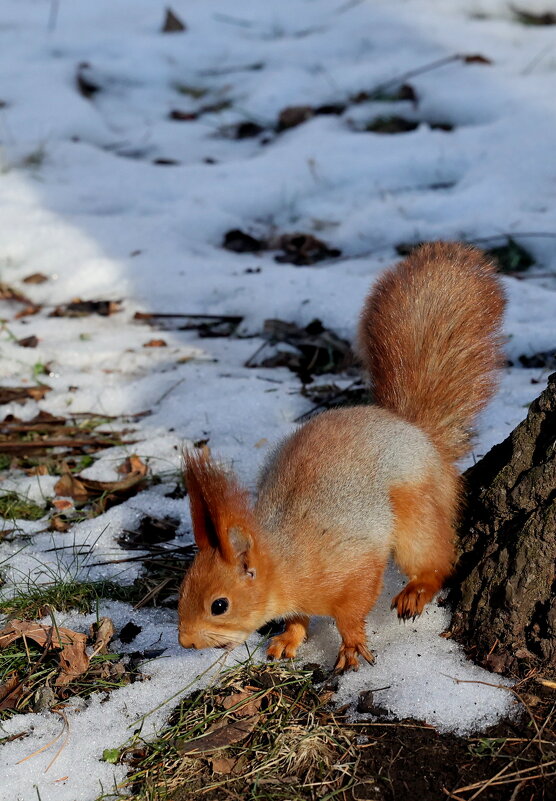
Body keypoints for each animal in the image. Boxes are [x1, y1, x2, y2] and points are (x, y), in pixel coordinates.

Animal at [177, 242, 504, 668]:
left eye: (220, 605)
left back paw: (416, 591)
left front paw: (350, 644)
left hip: (416, 512)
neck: (288, 561)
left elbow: (353, 609)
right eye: (183, 589)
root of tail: (416, 432)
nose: (185, 641)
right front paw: (289, 637)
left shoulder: (353, 565)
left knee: (435, 560)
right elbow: (298, 618)